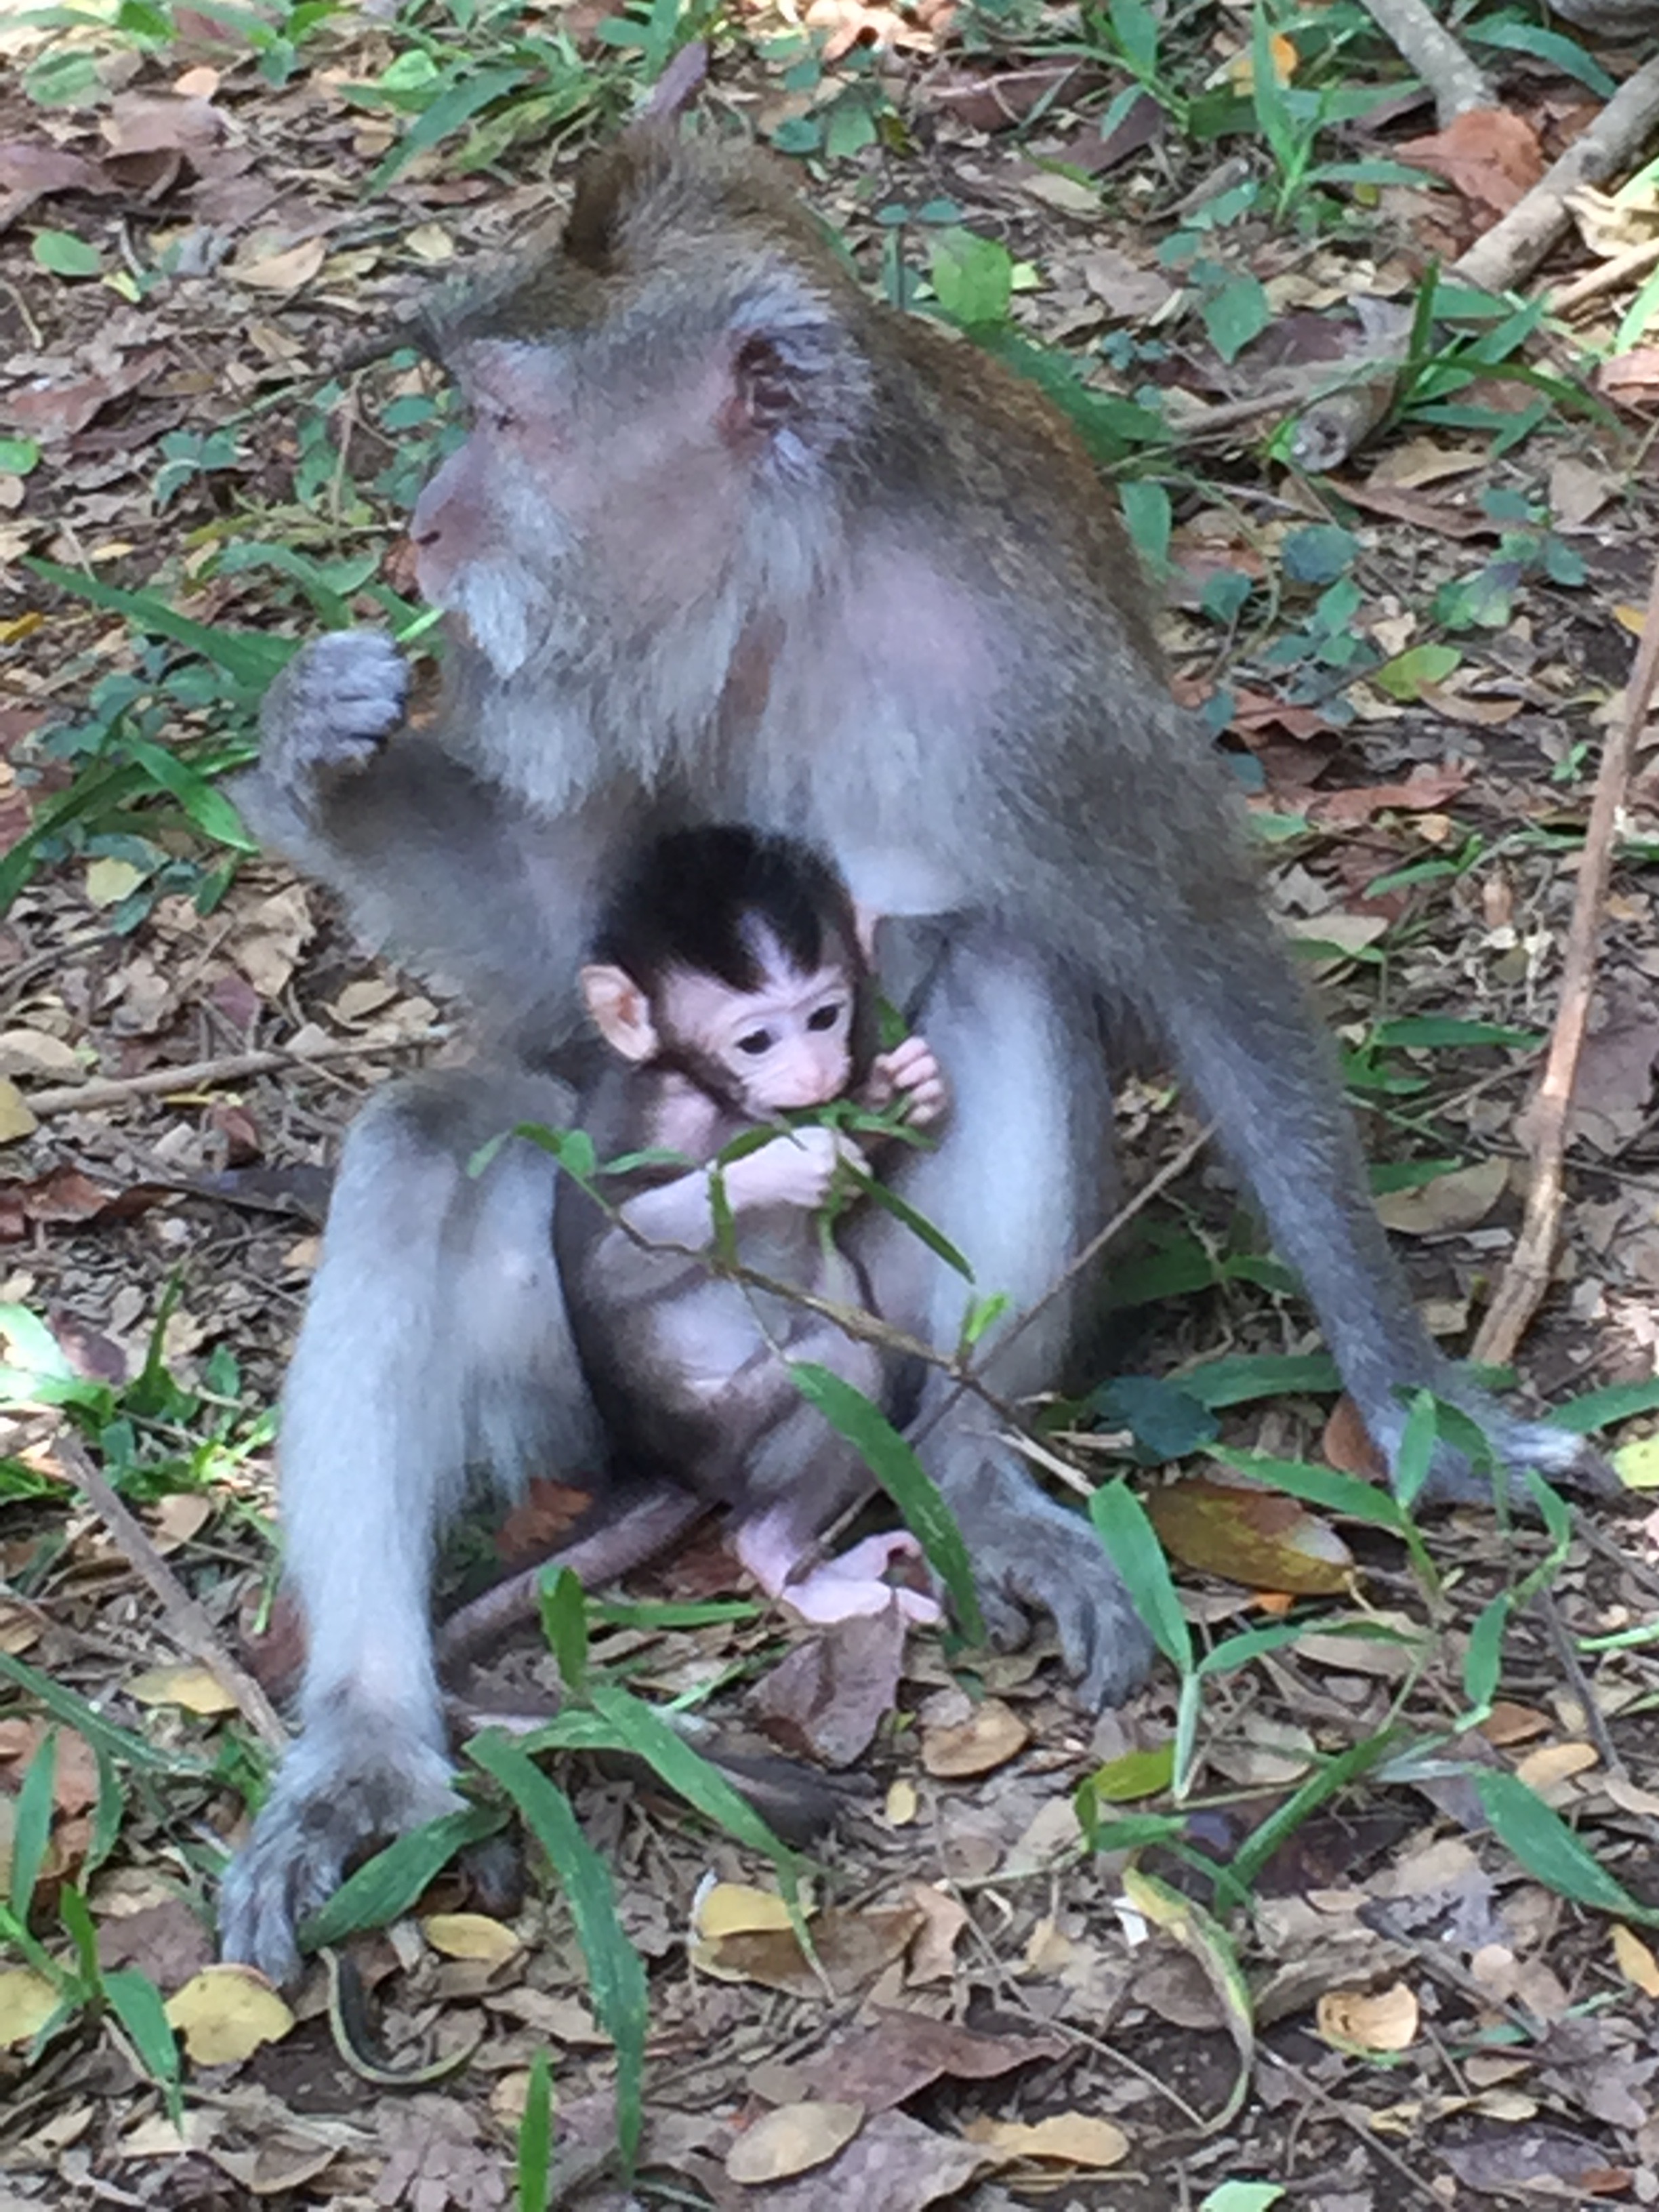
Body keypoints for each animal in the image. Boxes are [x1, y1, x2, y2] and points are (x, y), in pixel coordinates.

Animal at [555, 823, 946, 1626]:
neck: (716, 1097)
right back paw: (776, 1556)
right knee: (837, 1363)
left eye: (825, 1017)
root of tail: (673, 1471)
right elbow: (608, 1261)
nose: (816, 1073)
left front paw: (899, 1090)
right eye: (758, 1041)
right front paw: (783, 1165)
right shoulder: (653, 1118)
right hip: (724, 1435)